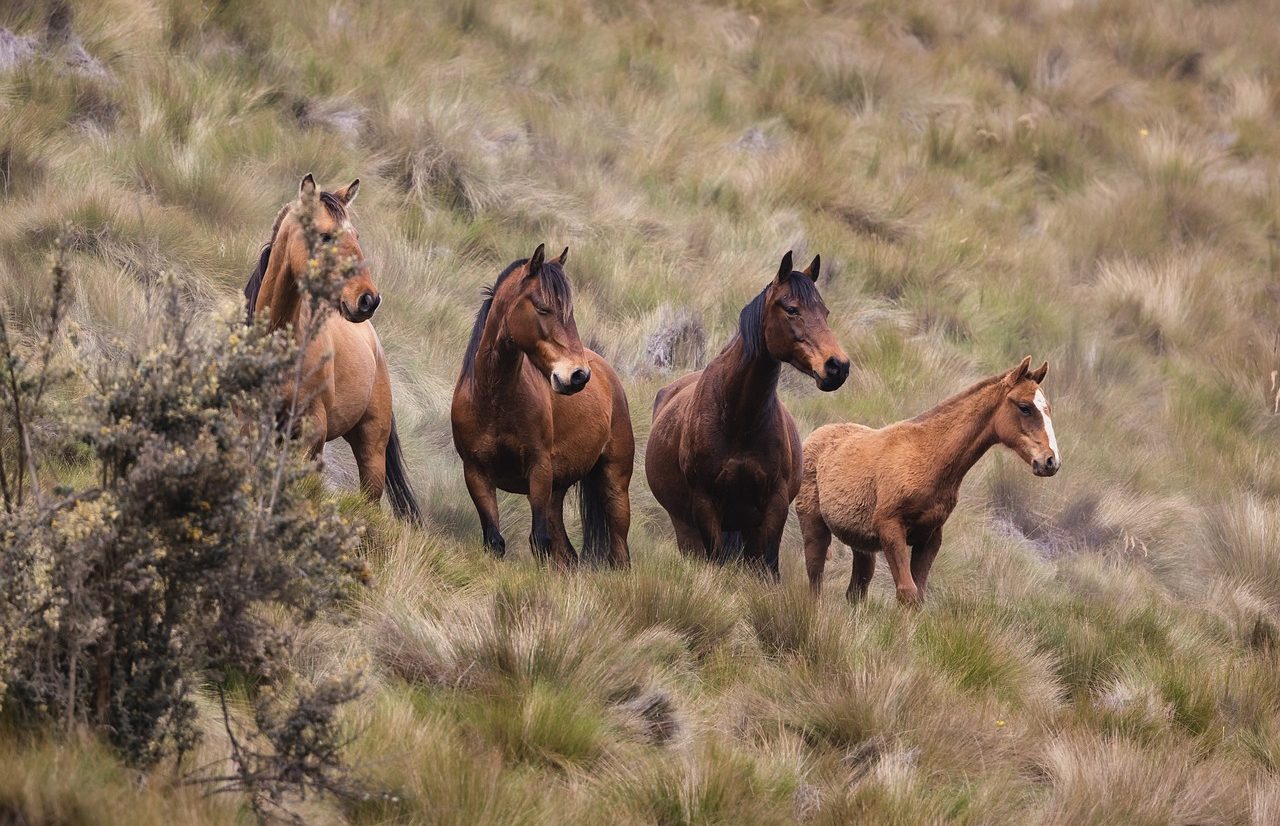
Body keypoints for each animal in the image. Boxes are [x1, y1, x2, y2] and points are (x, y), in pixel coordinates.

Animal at [450, 244, 634, 566]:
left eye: (569, 313)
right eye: (542, 308)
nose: (578, 375)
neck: (493, 400)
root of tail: (606, 371)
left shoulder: (539, 469)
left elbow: (539, 541)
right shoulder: (476, 473)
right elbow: (495, 541)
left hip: (615, 485)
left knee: (619, 551)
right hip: (555, 493)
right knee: (567, 554)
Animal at [650, 248, 849, 576]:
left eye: (825, 312)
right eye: (792, 309)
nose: (838, 367)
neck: (738, 419)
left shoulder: (774, 504)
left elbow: (763, 564)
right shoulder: (705, 502)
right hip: (686, 527)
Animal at [798, 356, 1059, 604]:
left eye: (1047, 409)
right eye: (1024, 407)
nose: (1051, 461)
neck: (929, 457)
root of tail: (814, 436)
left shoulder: (930, 538)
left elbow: (918, 594)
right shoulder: (890, 528)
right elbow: (908, 593)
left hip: (862, 544)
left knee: (855, 591)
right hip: (814, 527)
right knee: (815, 580)